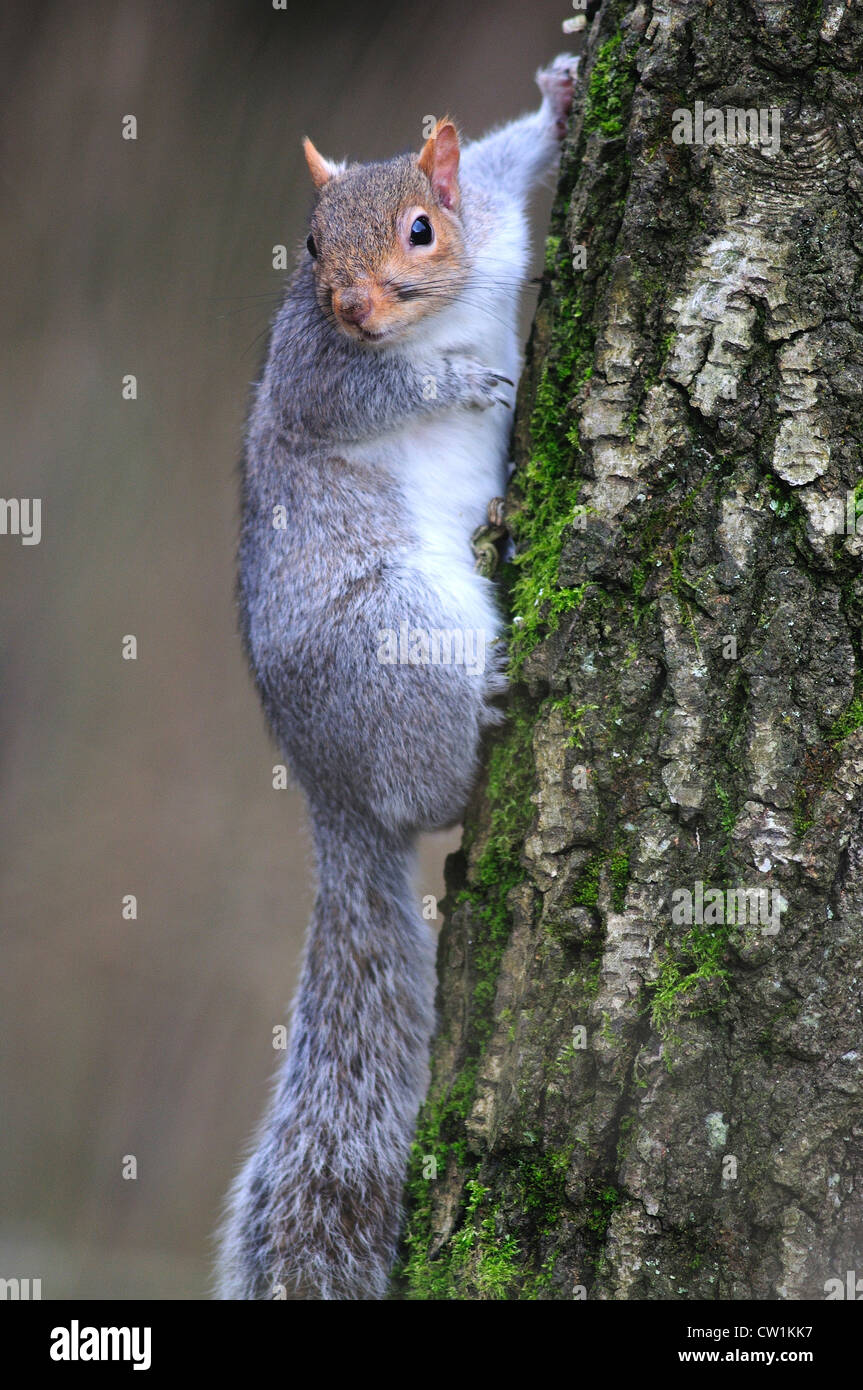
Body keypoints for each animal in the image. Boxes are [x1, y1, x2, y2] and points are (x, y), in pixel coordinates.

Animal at [215, 48, 578, 1295]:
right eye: (310, 244)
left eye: (421, 227)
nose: (353, 307)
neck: (441, 310)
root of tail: (328, 787)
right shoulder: (316, 373)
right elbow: (368, 396)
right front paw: (452, 388)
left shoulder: (500, 220)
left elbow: (515, 159)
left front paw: (562, 91)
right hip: (392, 634)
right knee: (431, 789)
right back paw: (492, 699)